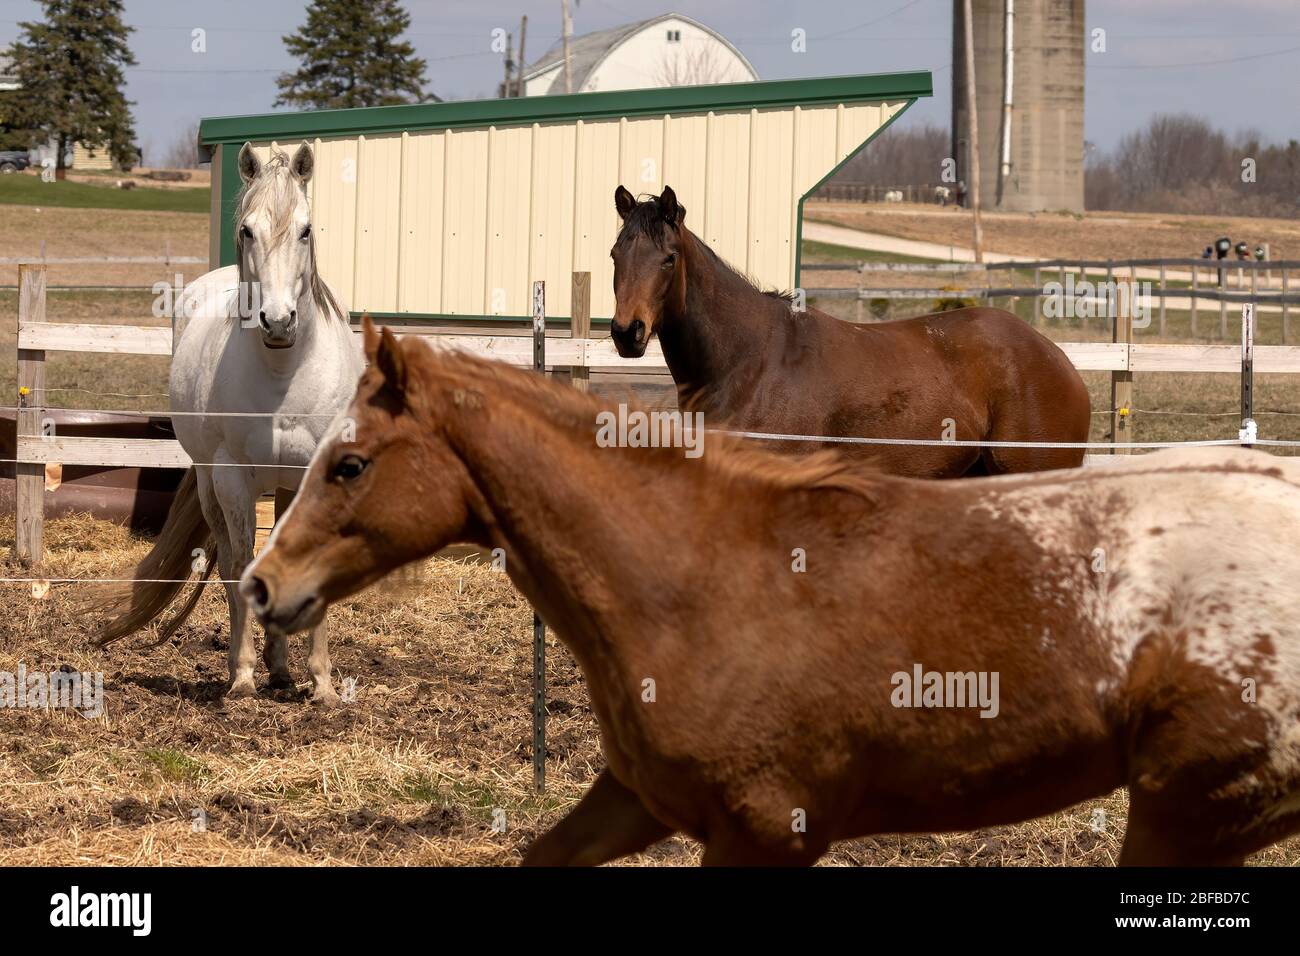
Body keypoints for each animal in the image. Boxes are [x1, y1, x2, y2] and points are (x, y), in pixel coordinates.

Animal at [93, 142, 362, 705]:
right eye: (247, 231)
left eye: (306, 230)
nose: (277, 321)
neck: (284, 372)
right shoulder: (233, 477)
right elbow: (239, 570)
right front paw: (241, 676)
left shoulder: (317, 475)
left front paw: (322, 684)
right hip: (209, 481)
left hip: (285, 485)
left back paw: (282, 668)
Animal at [242, 321, 1300, 865]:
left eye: (349, 464)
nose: (261, 584)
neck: (692, 579)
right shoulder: (639, 800)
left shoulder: (762, 834)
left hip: (1192, 808)